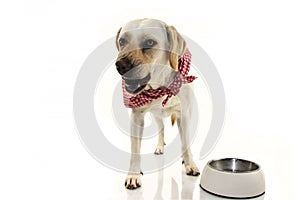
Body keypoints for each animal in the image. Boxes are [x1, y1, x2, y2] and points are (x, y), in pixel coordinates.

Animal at [115, 18, 199, 189]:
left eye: (149, 42)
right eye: (122, 41)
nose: (121, 66)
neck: (160, 86)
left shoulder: (184, 115)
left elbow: (185, 144)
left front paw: (189, 164)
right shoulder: (137, 117)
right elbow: (135, 150)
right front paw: (133, 174)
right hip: (157, 116)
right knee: (161, 129)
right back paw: (160, 146)